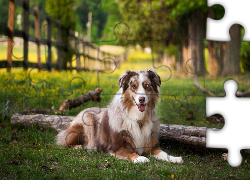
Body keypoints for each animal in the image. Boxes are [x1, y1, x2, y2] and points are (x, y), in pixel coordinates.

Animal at [55, 69, 183, 164]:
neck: (138, 118)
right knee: (63, 142)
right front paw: (139, 158)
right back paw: (79, 147)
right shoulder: (116, 147)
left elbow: (164, 153)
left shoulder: (151, 146)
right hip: (86, 122)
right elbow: (130, 153)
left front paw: (174, 158)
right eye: (133, 86)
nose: (142, 99)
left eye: (147, 86)